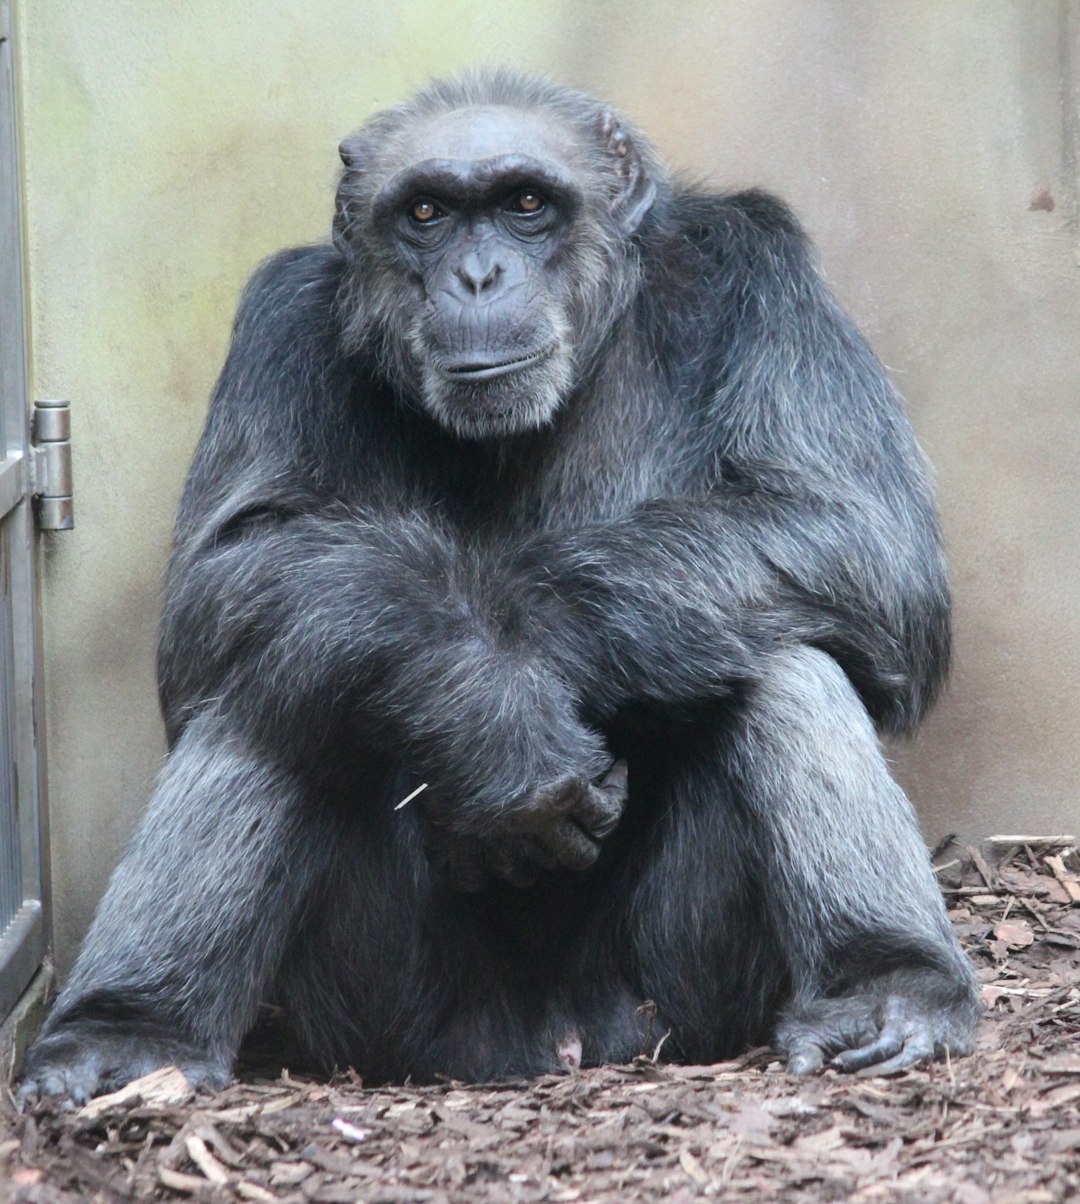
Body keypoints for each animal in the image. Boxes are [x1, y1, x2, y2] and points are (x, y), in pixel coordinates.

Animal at [16, 68, 977, 1102]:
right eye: (427, 213)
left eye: (525, 204)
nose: (478, 276)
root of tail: (542, 1045)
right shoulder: (281, 326)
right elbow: (231, 565)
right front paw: (485, 706)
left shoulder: (769, 281)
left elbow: (855, 526)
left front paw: (525, 666)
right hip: (385, 1011)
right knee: (283, 661)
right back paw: (126, 1032)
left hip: (675, 992)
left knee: (780, 653)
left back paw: (887, 988)